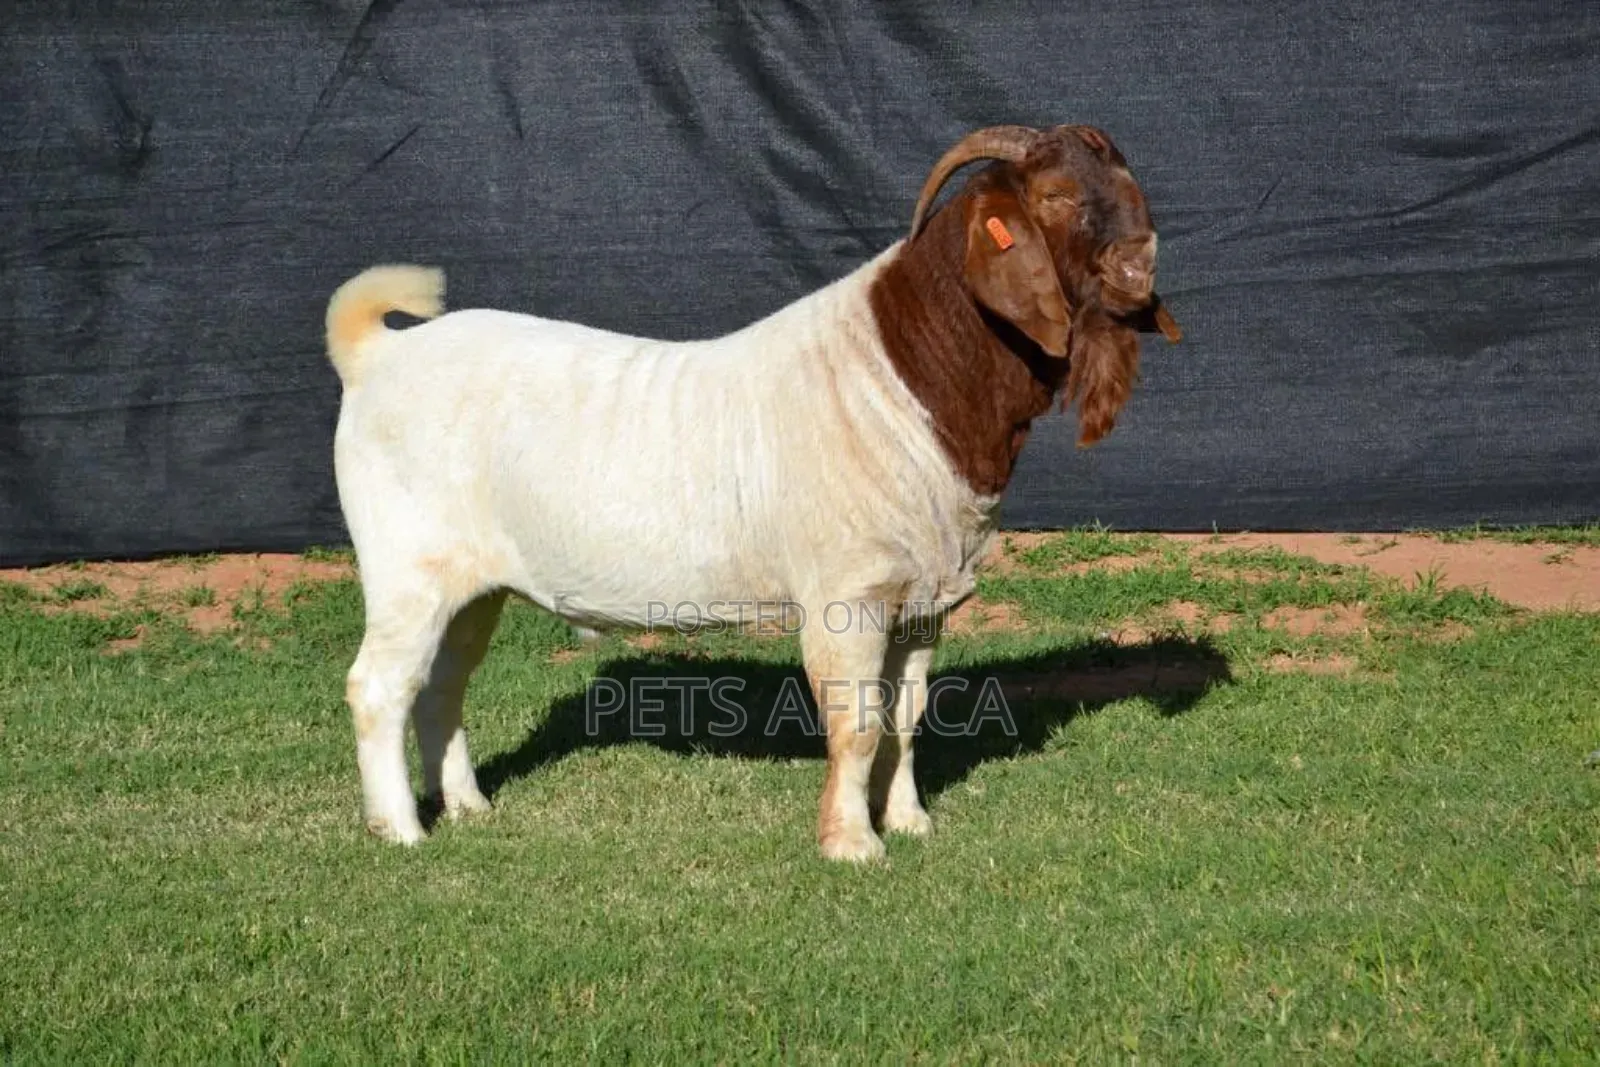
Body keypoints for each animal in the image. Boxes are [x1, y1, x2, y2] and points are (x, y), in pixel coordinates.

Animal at [325, 124, 1181, 862]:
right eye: (1055, 196)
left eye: (1126, 181)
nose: (1142, 262)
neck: (909, 377)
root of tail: (375, 354)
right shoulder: (848, 594)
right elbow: (857, 723)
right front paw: (852, 844)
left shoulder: (922, 603)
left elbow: (905, 719)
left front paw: (909, 821)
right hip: (405, 567)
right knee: (378, 686)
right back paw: (400, 829)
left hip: (475, 586)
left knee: (441, 685)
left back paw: (469, 806)